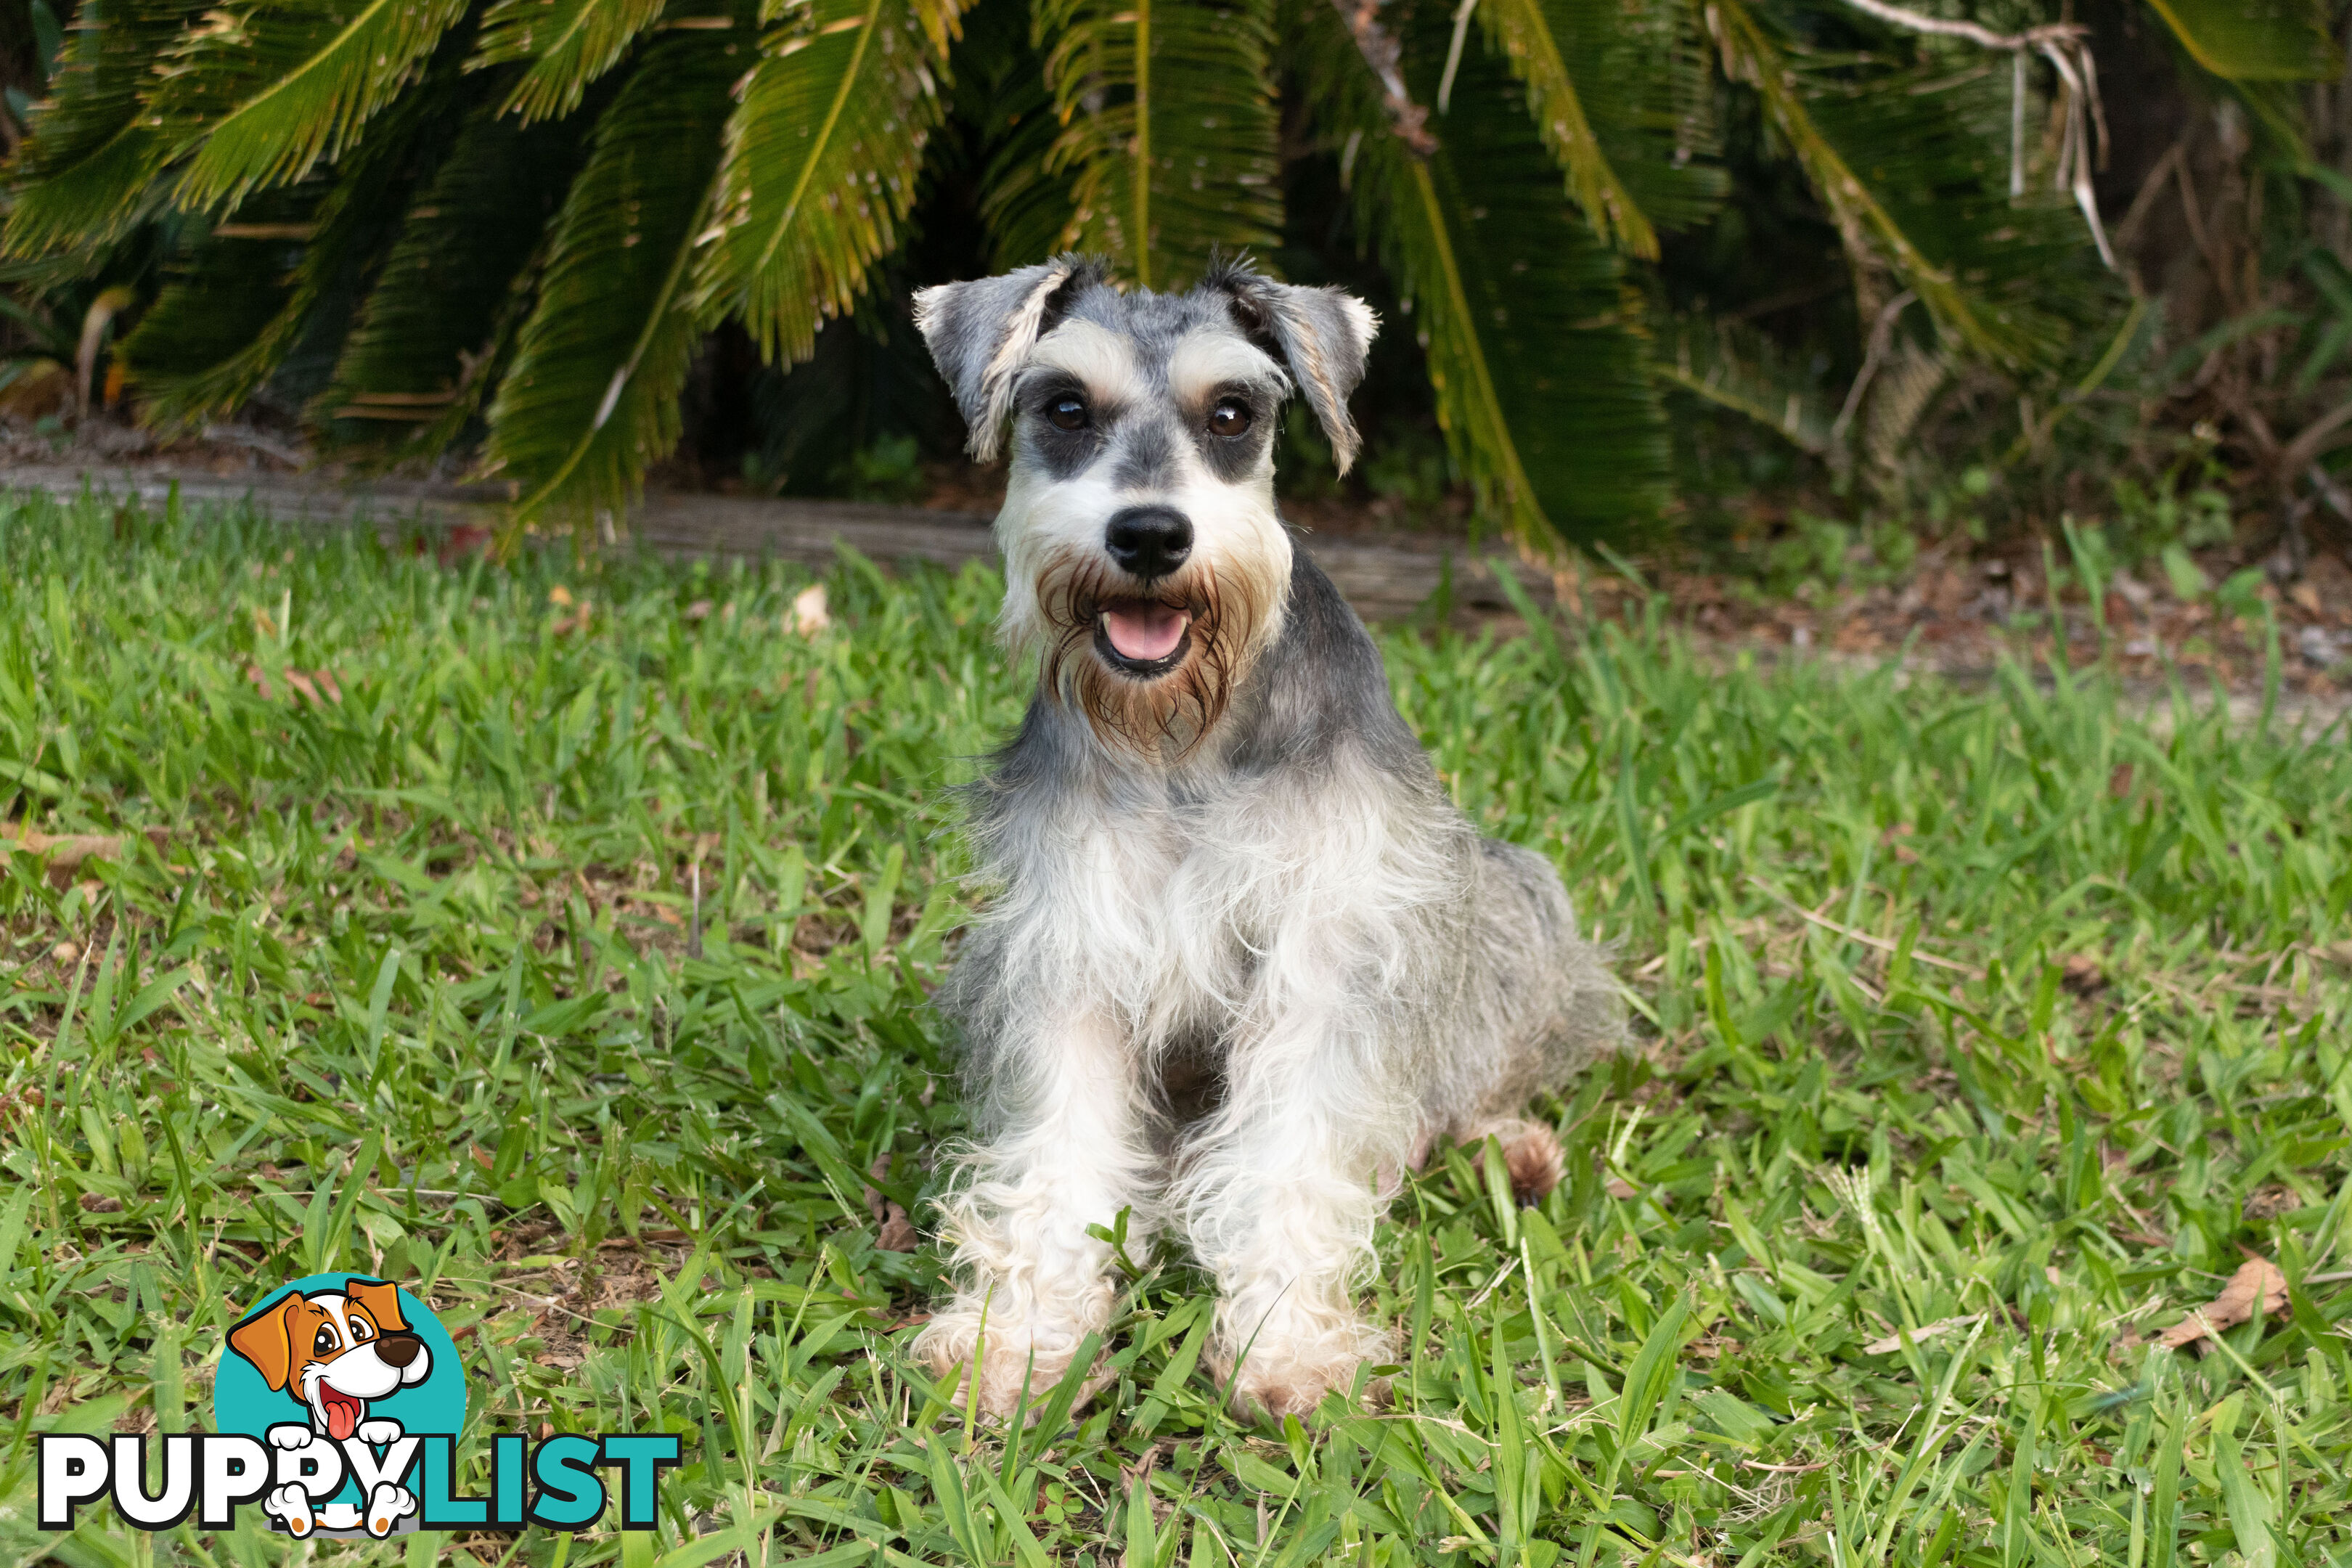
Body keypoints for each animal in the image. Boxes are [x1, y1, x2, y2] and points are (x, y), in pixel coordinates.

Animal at [903, 257, 1618, 1419]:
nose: (1151, 535)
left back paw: (1504, 1146)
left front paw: (1283, 1345)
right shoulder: (1075, 950)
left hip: (1509, 896)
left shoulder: (1323, 950)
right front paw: (1020, 1333)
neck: (1185, 736)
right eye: (1065, 408)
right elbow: (1059, 1149)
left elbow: (1291, 1149)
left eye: (1232, 413)